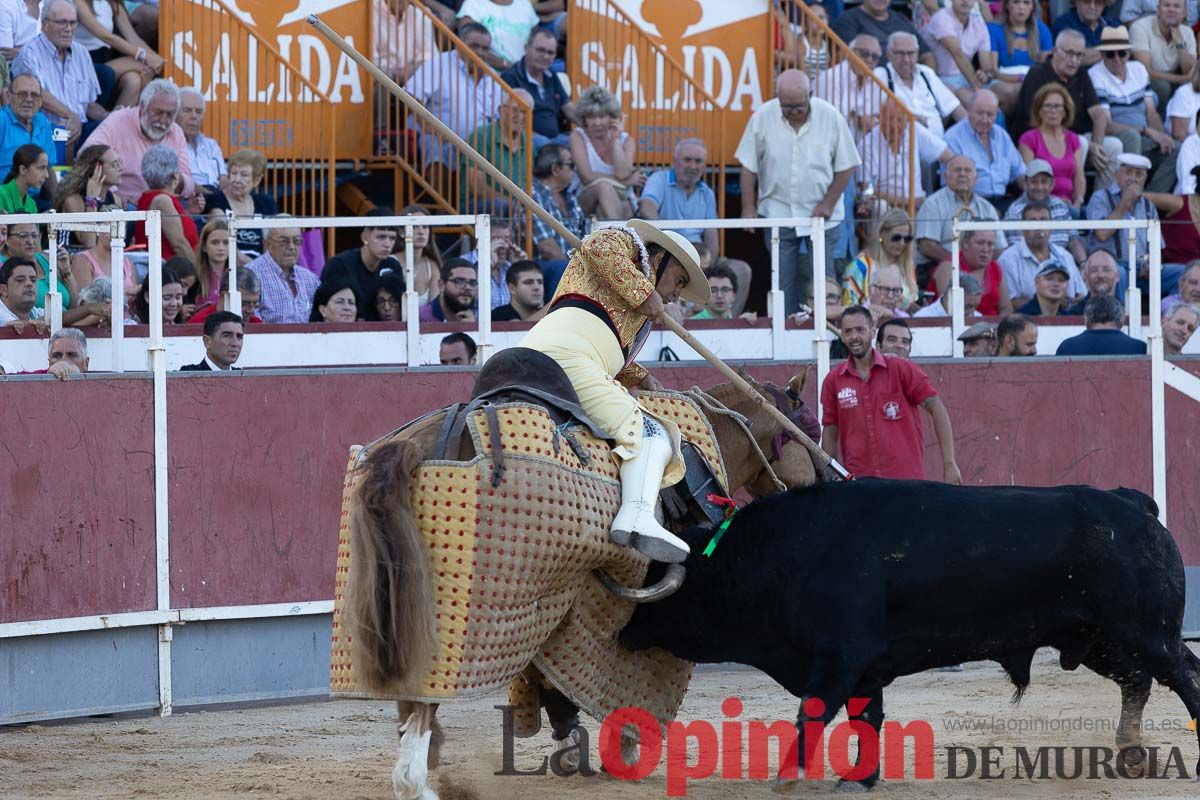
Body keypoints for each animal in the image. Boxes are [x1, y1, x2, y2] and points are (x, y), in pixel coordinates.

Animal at [619, 482, 1200, 786]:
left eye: (668, 588)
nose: (623, 633)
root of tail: (1131, 504)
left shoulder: (839, 658)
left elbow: (814, 712)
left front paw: (789, 775)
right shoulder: (862, 670)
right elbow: (865, 718)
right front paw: (859, 778)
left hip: (1147, 631)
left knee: (1182, 675)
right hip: (1096, 636)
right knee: (1137, 682)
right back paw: (1130, 752)